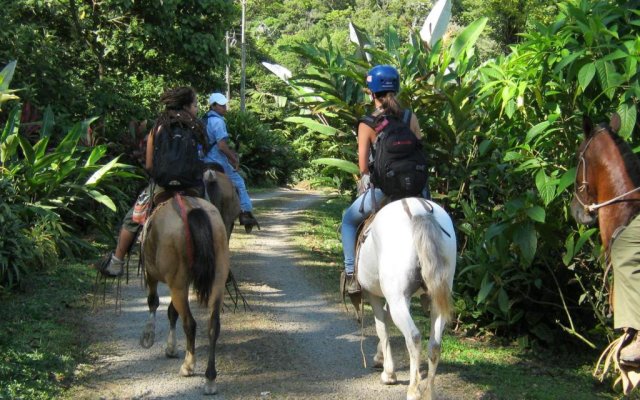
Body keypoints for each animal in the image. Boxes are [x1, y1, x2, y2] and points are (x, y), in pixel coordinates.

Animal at [140, 193, 230, 394]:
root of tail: (191, 208)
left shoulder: (152, 274)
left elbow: (153, 301)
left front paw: (149, 336)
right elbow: (171, 311)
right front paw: (170, 347)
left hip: (178, 283)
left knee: (190, 323)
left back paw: (188, 366)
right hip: (218, 276)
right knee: (213, 325)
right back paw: (210, 379)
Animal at [358, 198, 458, 400]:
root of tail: (419, 211)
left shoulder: (374, 294)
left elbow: (382, 327)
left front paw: (388, 374)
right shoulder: (403, 298)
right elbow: (386, 320)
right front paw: (380, 357)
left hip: (397, 299)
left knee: (413, 336)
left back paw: (413, 390)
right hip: (436, 300)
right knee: (435, 344)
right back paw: (429, 392)